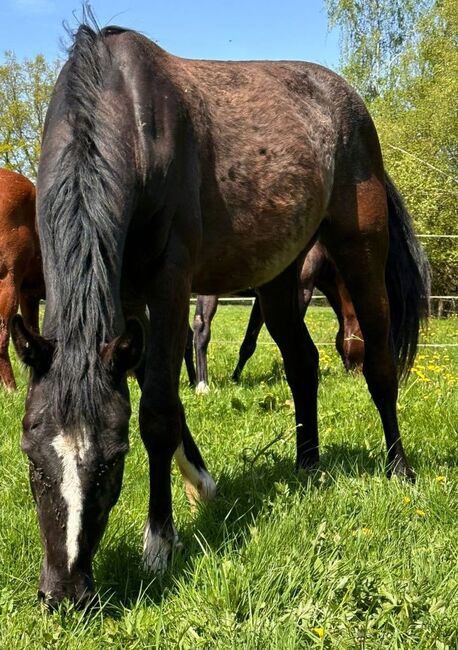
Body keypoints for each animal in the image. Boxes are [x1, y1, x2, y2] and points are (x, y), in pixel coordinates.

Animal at [188, 238, 364, 390]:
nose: (360, 377)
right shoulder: (301, 290)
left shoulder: (261, 299)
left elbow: (248, 345)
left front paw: (235, 379)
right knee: (201, 327)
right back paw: (202, 385)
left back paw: (192, 381)